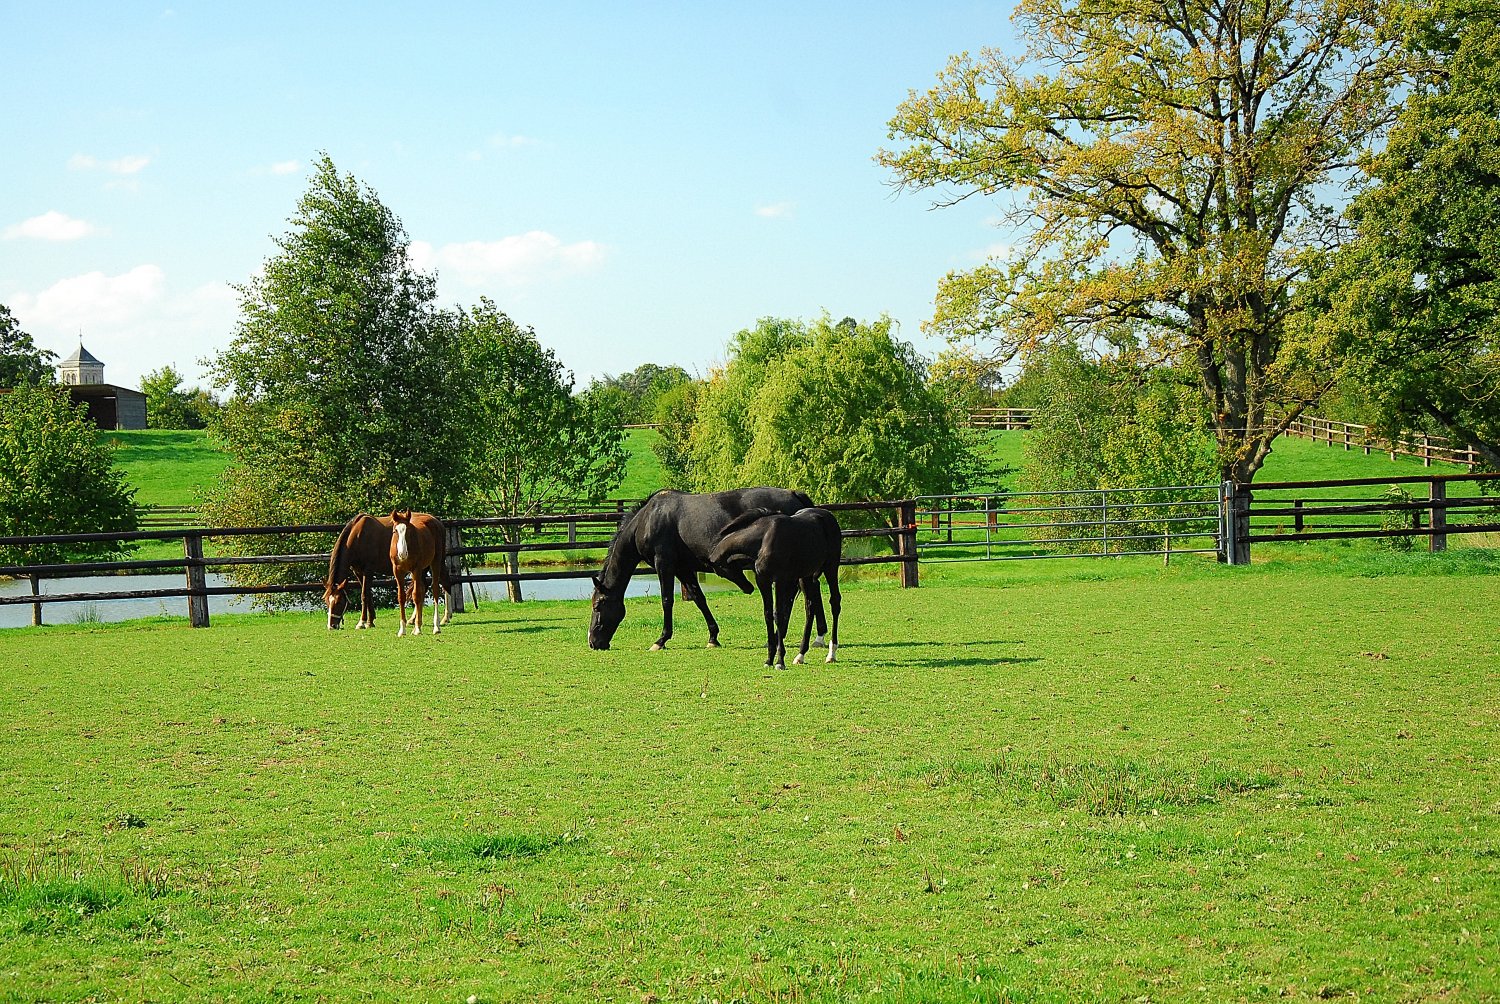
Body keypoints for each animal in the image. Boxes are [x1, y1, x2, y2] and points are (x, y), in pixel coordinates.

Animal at [588, 487, 822, 651]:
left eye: (598, 605)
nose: (592, 642)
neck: (648, 519)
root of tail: (795, 495)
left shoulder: (664, 565)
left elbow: (666, 601)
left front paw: (661, 640)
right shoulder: (683, 569)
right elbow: (699, 599)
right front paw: (713, 637)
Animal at [708, 507, 842, 669]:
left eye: (720, 571)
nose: (748, 588)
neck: (763, 540)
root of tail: (828, 516)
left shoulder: (779, 580)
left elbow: (779, 614)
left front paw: (780, 661)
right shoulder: (763, 581)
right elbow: (767, 615)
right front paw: (769, 660)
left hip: (831, 567)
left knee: (835, 602)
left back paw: (831, 654)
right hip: (806, 575)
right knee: (810, 607)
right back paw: (800, 655)